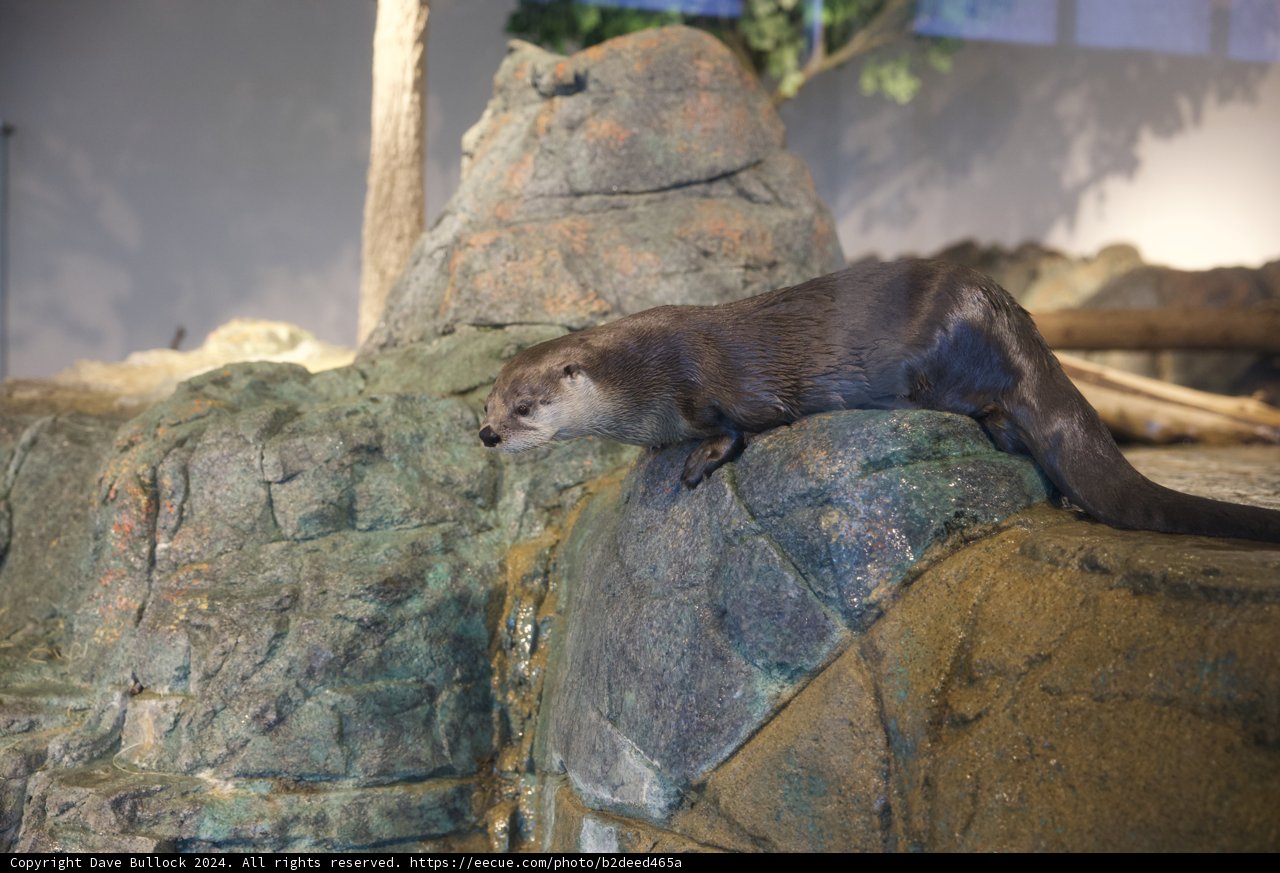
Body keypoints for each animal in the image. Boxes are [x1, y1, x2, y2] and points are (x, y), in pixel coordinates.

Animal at [479, 259, 1280, 543]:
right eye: (486, 405)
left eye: (526, 405)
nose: (489, 435)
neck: (639, 374)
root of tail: (1008, 314)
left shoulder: (707, 381)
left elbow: (738, 426)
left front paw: (696, 463)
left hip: (934, 358)